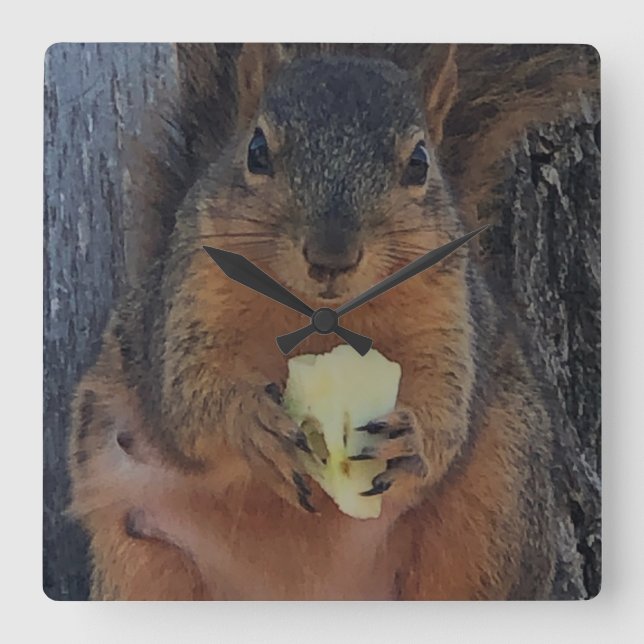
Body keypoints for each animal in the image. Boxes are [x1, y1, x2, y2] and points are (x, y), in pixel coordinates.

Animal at [68, 44, 597, 600]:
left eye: (419, 163)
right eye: (257, 151)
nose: (331, 256)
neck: (322, 316)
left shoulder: (450, 316)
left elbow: (447, 406)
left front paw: (413, 438)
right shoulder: (187, 305)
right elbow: (188, 399)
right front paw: (251, 421)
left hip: (494, 512)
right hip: (141, 558)